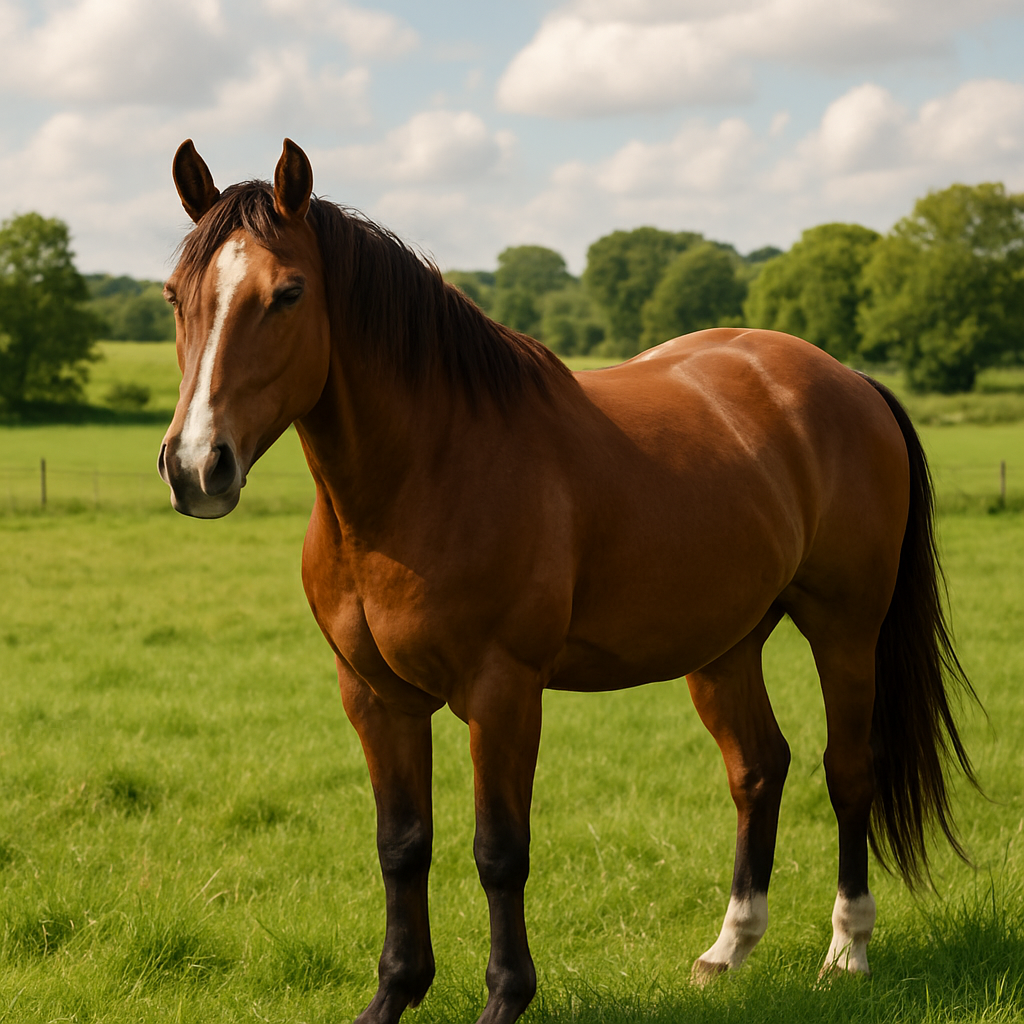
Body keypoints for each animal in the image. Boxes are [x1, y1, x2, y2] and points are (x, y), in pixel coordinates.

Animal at [158, 138, 976, 1024]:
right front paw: (395, 992)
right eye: (174, 296)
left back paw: (847, 951)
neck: (426, 469)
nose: (197, 466)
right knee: (759, 768)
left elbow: (499, 851)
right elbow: (401, 845)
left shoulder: (503, 692)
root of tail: (850, 381)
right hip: (724, 645)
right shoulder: (375, 696)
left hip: (845, 628)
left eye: (287, 293)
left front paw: (505, 998)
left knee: (848, 770)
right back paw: (728, 949)